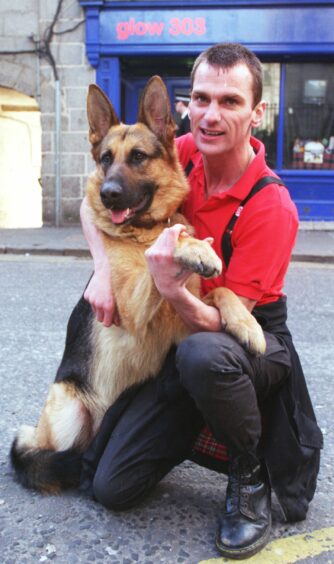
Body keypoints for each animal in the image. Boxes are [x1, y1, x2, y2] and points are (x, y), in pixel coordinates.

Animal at [10, 76, 266, 494]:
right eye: (105, 159)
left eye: (138, 157)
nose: (107, 194)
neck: (143, 232)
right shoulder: (132, 307)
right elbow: (157, 259)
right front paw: (193, 248)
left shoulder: (186, 320)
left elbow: (221, 290)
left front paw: (247, 325)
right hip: (68, 411)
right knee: (46, 454)